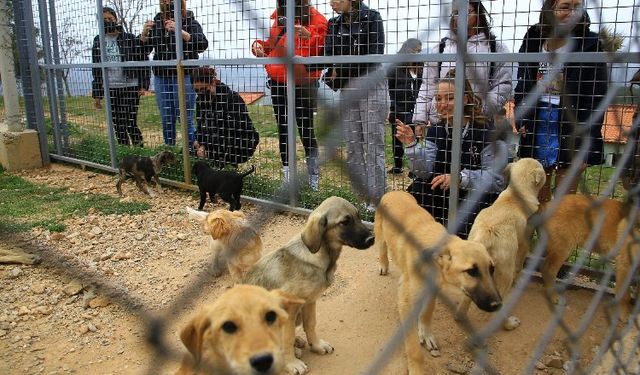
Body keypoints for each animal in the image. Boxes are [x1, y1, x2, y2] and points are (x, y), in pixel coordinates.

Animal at [244, 197, 376, 375]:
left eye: (359, 216)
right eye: (344, 222)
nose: (372, 239)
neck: (322, 257)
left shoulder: (309, 302)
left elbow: (311, 325)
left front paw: (317, 345)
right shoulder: (288, 310)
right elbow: (287, 337)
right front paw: (292, 363)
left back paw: (298, 343)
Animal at [376, 192, 500, 374]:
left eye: (492, 269)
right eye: (471, 271)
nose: (498, 305)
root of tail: (393, 192)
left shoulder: (432, 289)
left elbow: (427, 312)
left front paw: (425, 334)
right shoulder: (406, 302)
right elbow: (413, 348)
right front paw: (417, 369)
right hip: (380, 236)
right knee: (382, 249)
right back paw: (383, 265)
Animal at [462, 157, 548, 330]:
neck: (515, 194)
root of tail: (486, 235)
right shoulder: (524, 242)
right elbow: (520, 265)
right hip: (505, 270)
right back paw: (509, 323)